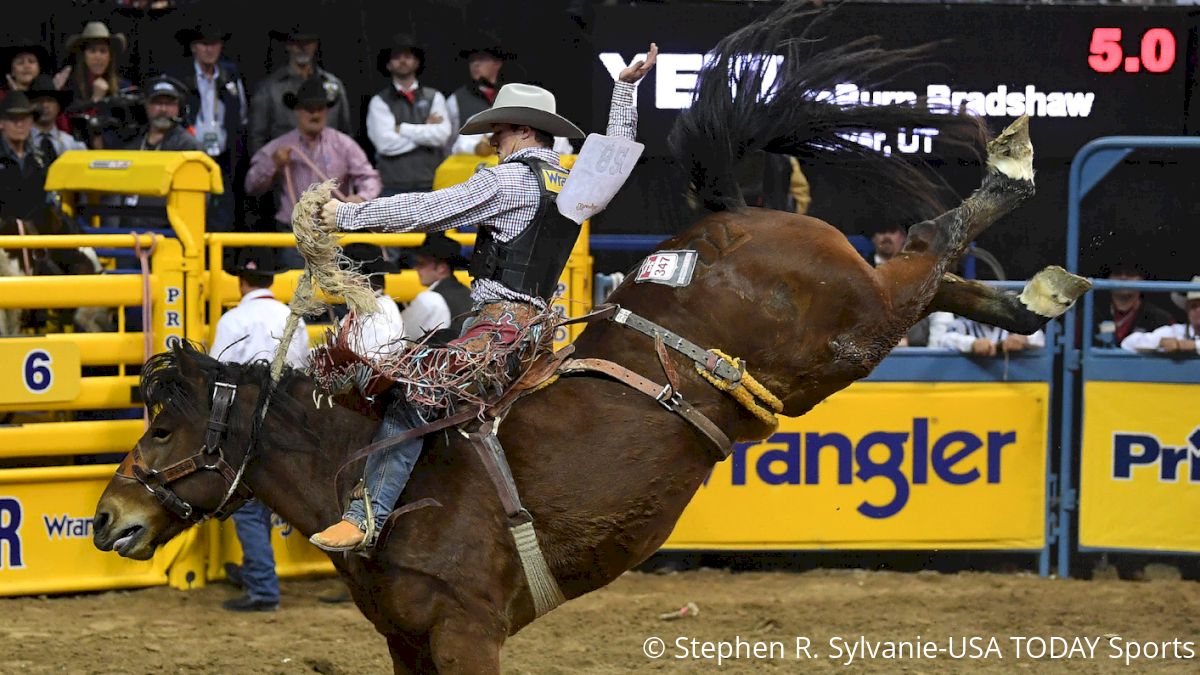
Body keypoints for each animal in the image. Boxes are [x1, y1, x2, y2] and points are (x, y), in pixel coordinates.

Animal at [91, 6, 1089, 672]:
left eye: (165, 428)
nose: (106, 518)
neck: (360, 471)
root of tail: (728, 215)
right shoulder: (409, 642)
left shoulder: (466, 632)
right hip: (850, 329)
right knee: (930, 266)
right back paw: (1037, 297)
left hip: (844, 328)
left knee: (929, 244)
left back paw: (1011, 167)